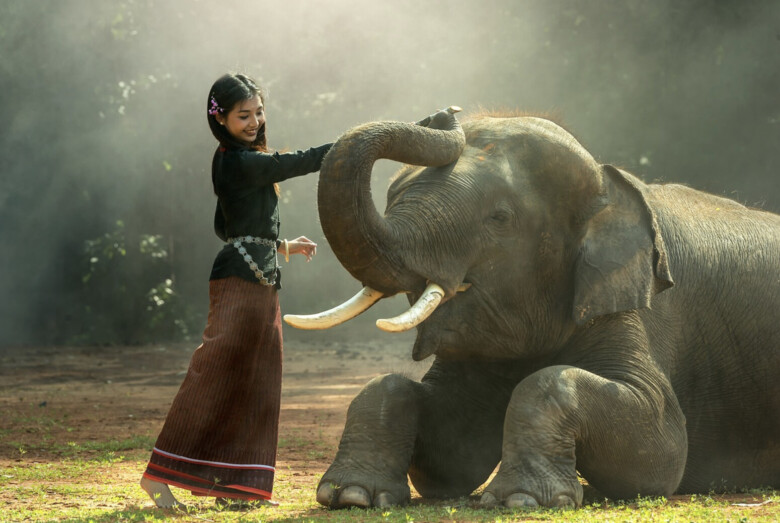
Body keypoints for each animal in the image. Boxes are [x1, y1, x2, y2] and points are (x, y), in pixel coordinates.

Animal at [284, 108, 780, 510]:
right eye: (391, 199)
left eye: (499, 218)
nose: (444, 114)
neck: (608, 182)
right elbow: (448, 453)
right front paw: (351, 496)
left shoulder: (632, 302)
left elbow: (662, 448)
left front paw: (521, 500)